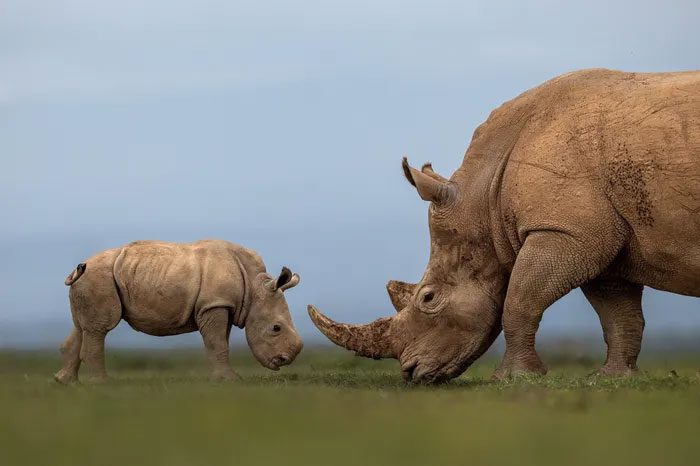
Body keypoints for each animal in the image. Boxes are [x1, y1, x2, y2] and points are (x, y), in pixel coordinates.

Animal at [55, 240, 304, 382]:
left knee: (82, 327)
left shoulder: (220, 304)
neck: (254, 288)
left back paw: (65, 382)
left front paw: (222, 378)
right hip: (99, 277)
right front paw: (230, 380)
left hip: (92, 278)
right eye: (276, 328)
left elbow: (220, 342)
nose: (284, 360)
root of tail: (79, 268)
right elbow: (217, 343)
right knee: (100, 328)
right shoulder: (214, 304)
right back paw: (103, 383)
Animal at [310, 68, 700, 382]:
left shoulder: (563, 232)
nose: (410, 373)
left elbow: (520, 299)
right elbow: (618, 314)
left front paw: (513, 378)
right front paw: (615, 378)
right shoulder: (596, 236)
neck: (484, 201)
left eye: (428, 298)